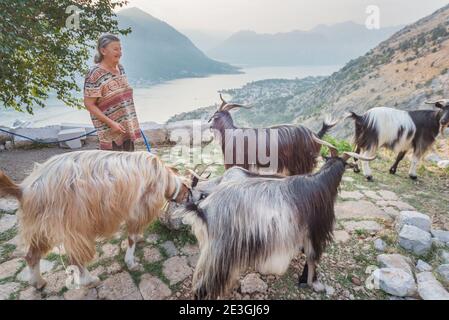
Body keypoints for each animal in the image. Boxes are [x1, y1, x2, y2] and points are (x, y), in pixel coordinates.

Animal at [0, 151, 196, 290]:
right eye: (188, 192)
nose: (193, 205)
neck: (165, 177)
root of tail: (24, 189)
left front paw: (139, 239)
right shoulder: (138, 208)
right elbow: (131, 237)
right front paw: (131, 261)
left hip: (41, 227)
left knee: (32, 255)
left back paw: (38, 282)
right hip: (74, 224)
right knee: (76, 258)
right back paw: (89, 280)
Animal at [175, 136, 374, 300]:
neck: (321, 185)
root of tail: (202, 210)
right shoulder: (316, 232)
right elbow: (313, 258)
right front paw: (311, 282)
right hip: (220, 253)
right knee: (203, 284)